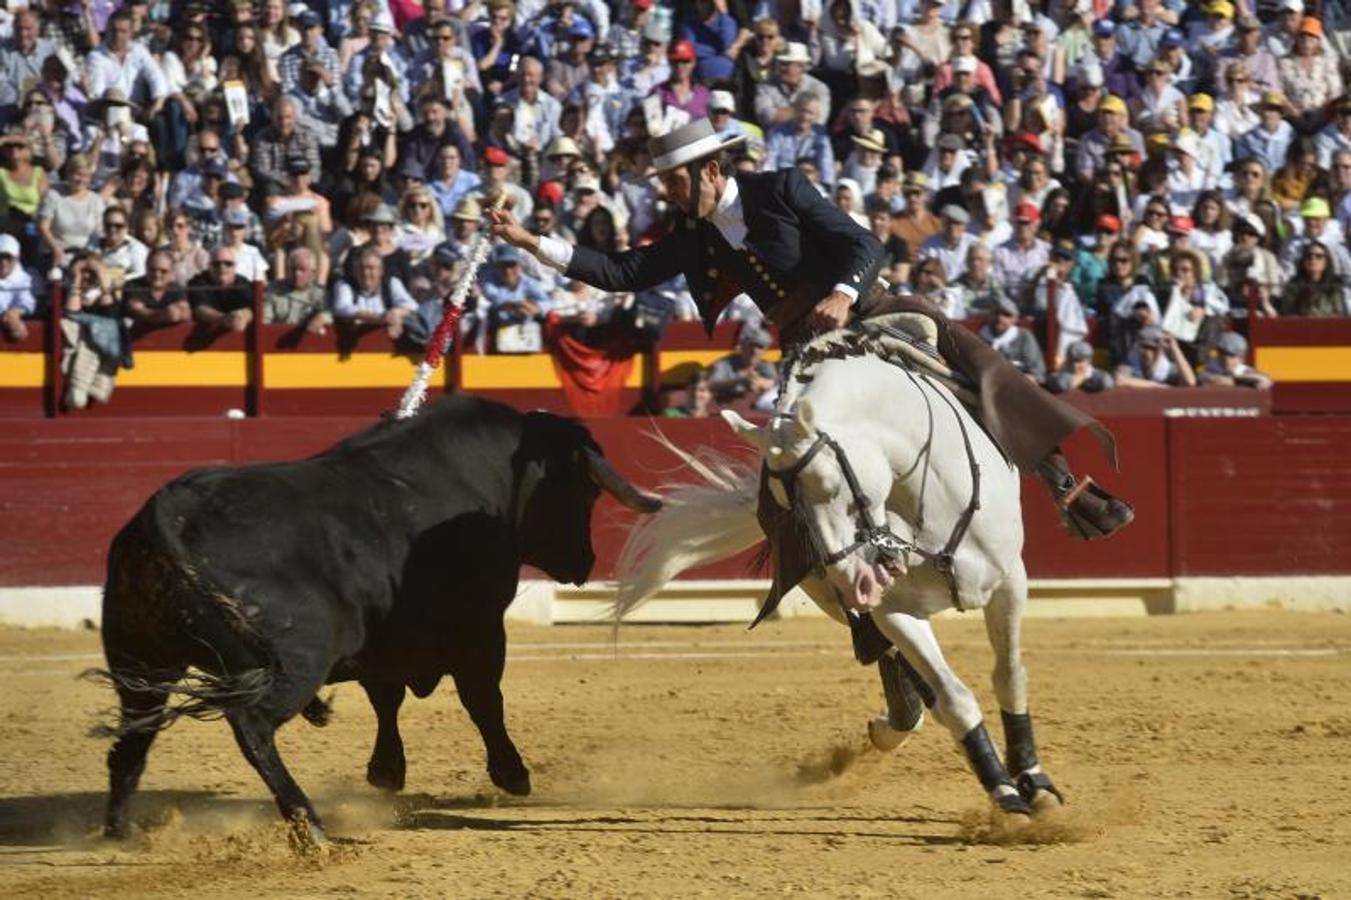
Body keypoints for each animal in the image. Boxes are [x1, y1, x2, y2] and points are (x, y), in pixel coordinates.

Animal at [95, 397, 659, 837]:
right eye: (586, 491)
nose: (584, 563)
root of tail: (165, 517)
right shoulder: (480, 629)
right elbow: (483, 701)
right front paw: (512, 774)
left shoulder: (385, 644)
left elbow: (386, 700)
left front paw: (387, 772)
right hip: (297, 661)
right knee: (251, 726)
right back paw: (310, 826)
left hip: (140, 661)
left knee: (133, 739)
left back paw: (120, 830)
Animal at [616, 325, 1064, 816]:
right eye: (784, 504)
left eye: (830, 485)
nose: (855, 580)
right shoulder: (894, 612)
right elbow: (954, 697)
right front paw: (1004, 792)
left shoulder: (1010, 582)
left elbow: (1010, 673)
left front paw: (1034, 781)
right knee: (906, 676)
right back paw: (893, 725)